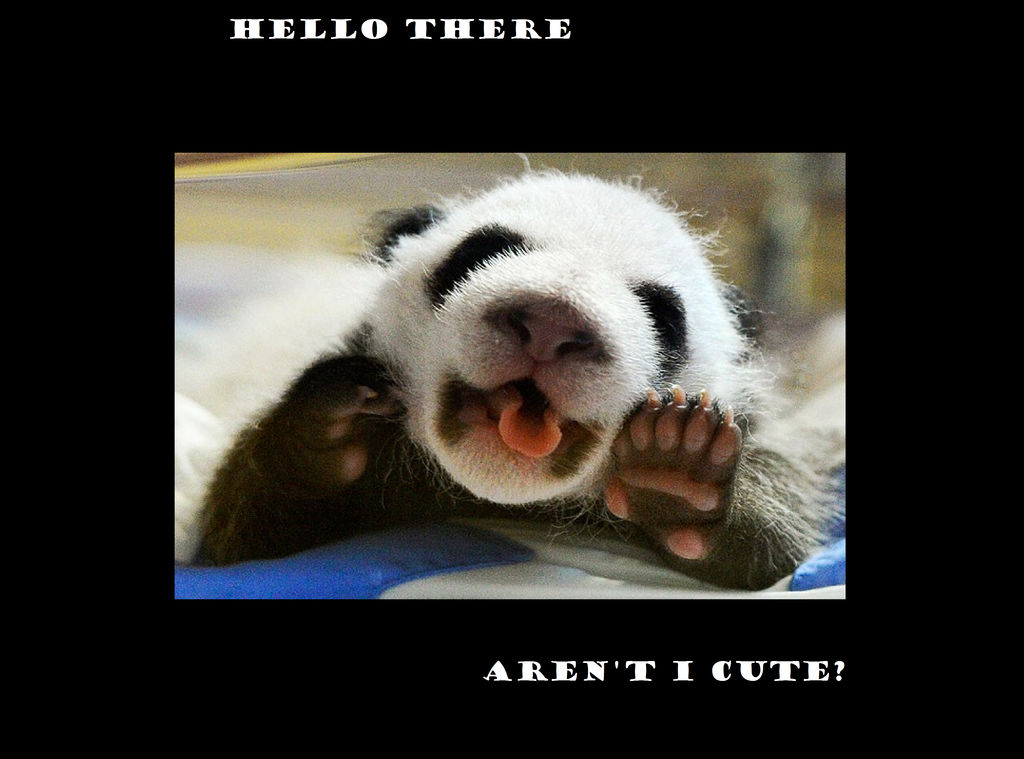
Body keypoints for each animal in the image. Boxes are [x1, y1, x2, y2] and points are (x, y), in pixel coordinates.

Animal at [191, 171, 844, 590]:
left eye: (662, 315)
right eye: (480, 253)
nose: (554, 321)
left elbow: (768, 551)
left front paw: (676, 467)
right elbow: (243, 540)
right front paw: (331, 425)